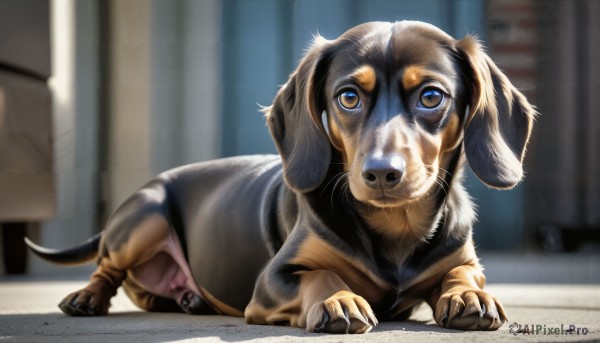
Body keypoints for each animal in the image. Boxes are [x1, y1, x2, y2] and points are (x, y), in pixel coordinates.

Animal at [27, 20, 536, 334]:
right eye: (348, 97)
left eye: (432, 96)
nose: (380, 173)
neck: (396, 229)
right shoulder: (272, 282)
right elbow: (322, 274)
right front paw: (339, 300)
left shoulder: (462, 258)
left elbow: (462, 273)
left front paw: (469, 296)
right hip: (143, 218)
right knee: (105, 269)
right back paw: (86, 297)